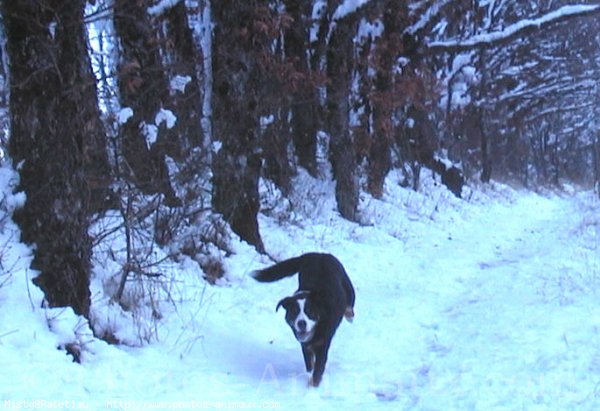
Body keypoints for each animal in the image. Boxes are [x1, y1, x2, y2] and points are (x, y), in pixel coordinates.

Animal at [251, 253, 354, 388]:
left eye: (309, 312)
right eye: (294, 312)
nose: (301, 323)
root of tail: (318, 254)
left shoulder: (323, 344)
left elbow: (318, 370)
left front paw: (313, 387)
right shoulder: (305, 346)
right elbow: (310, 366)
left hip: (347, 285)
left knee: (350, 302)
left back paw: (349, 314)